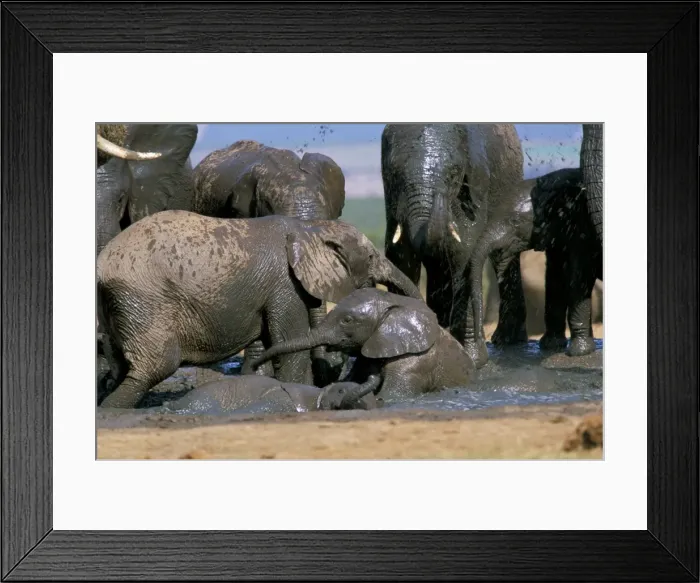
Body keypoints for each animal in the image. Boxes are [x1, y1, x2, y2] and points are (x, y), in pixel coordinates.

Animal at [96, 210, 422, 408]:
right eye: (371, 256)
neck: (310, 230)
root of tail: (100, 265)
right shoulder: (285, 285)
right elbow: (289, 346)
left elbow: (266, 346)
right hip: (144, 298)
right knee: (156, 365)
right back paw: (114, 410)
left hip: (116, 303)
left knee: (117, 364)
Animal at [381, 123, 528, 370]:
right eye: (395, 173)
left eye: (453, 174)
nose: (441, 195)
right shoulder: (391, 197)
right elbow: (400, 255)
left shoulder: (475, 183)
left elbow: (465, 251)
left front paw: (473, 359)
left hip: (510, 178)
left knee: (500, 255)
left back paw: (507, 340)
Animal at [469, 167, 603, 358]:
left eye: (515, 221)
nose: (482, 340)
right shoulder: (558, 236)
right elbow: (555, 278)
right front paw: (552, 346)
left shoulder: (583, 228)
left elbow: (579, 276)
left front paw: (579, 352)